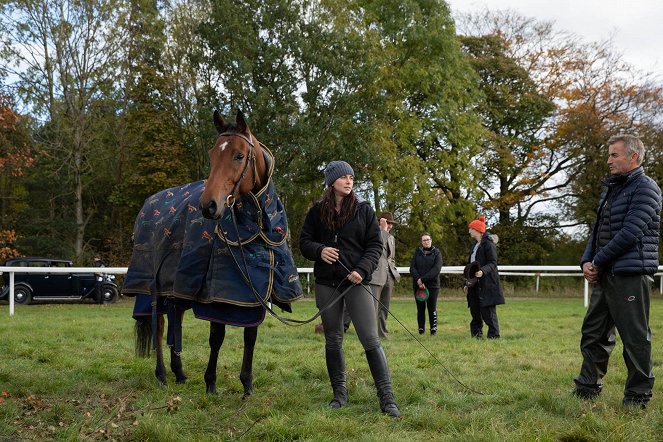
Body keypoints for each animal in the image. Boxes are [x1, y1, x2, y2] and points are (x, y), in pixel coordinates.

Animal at [122, 110, 304, 398]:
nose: (208, 206)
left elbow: (250, 336)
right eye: (211, 155)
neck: (254, 227)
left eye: (239, 155)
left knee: (175, 322)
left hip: (176, 290)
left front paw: (247, 385)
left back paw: (179, 373)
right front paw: (211, 383)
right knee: (159, 326)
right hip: (154, 291)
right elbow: (216, 337)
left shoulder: (254, 294)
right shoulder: (217, 295)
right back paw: (161, 374)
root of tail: (148, 205)